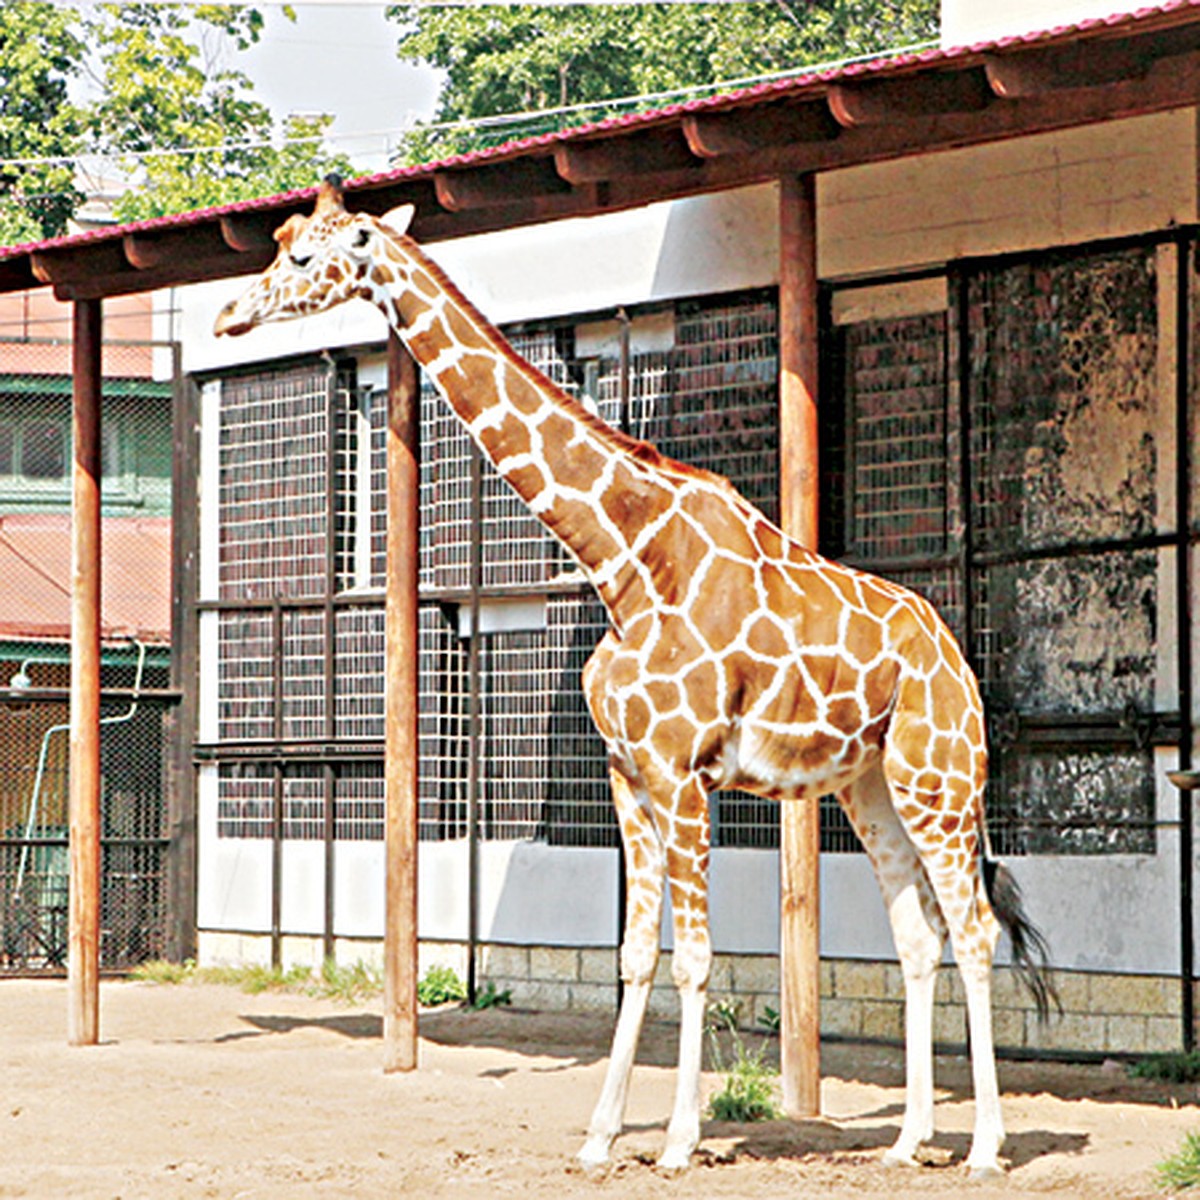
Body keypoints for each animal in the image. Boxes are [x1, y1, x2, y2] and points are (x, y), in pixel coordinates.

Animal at [213, 180, 1051, 1180]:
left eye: (304, 256)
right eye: (279, 240)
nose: (226, 316)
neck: (621, 558)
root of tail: (958, 658)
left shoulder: (684, 773)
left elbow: (694, 957)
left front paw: (681, 1139)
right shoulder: (628, 772)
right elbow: (634, 955)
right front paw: (600, 1136)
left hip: (940, 778)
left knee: (974, 930)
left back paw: (987, 1146)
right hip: (868, 786)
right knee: (920, 937)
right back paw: (910, 1138)